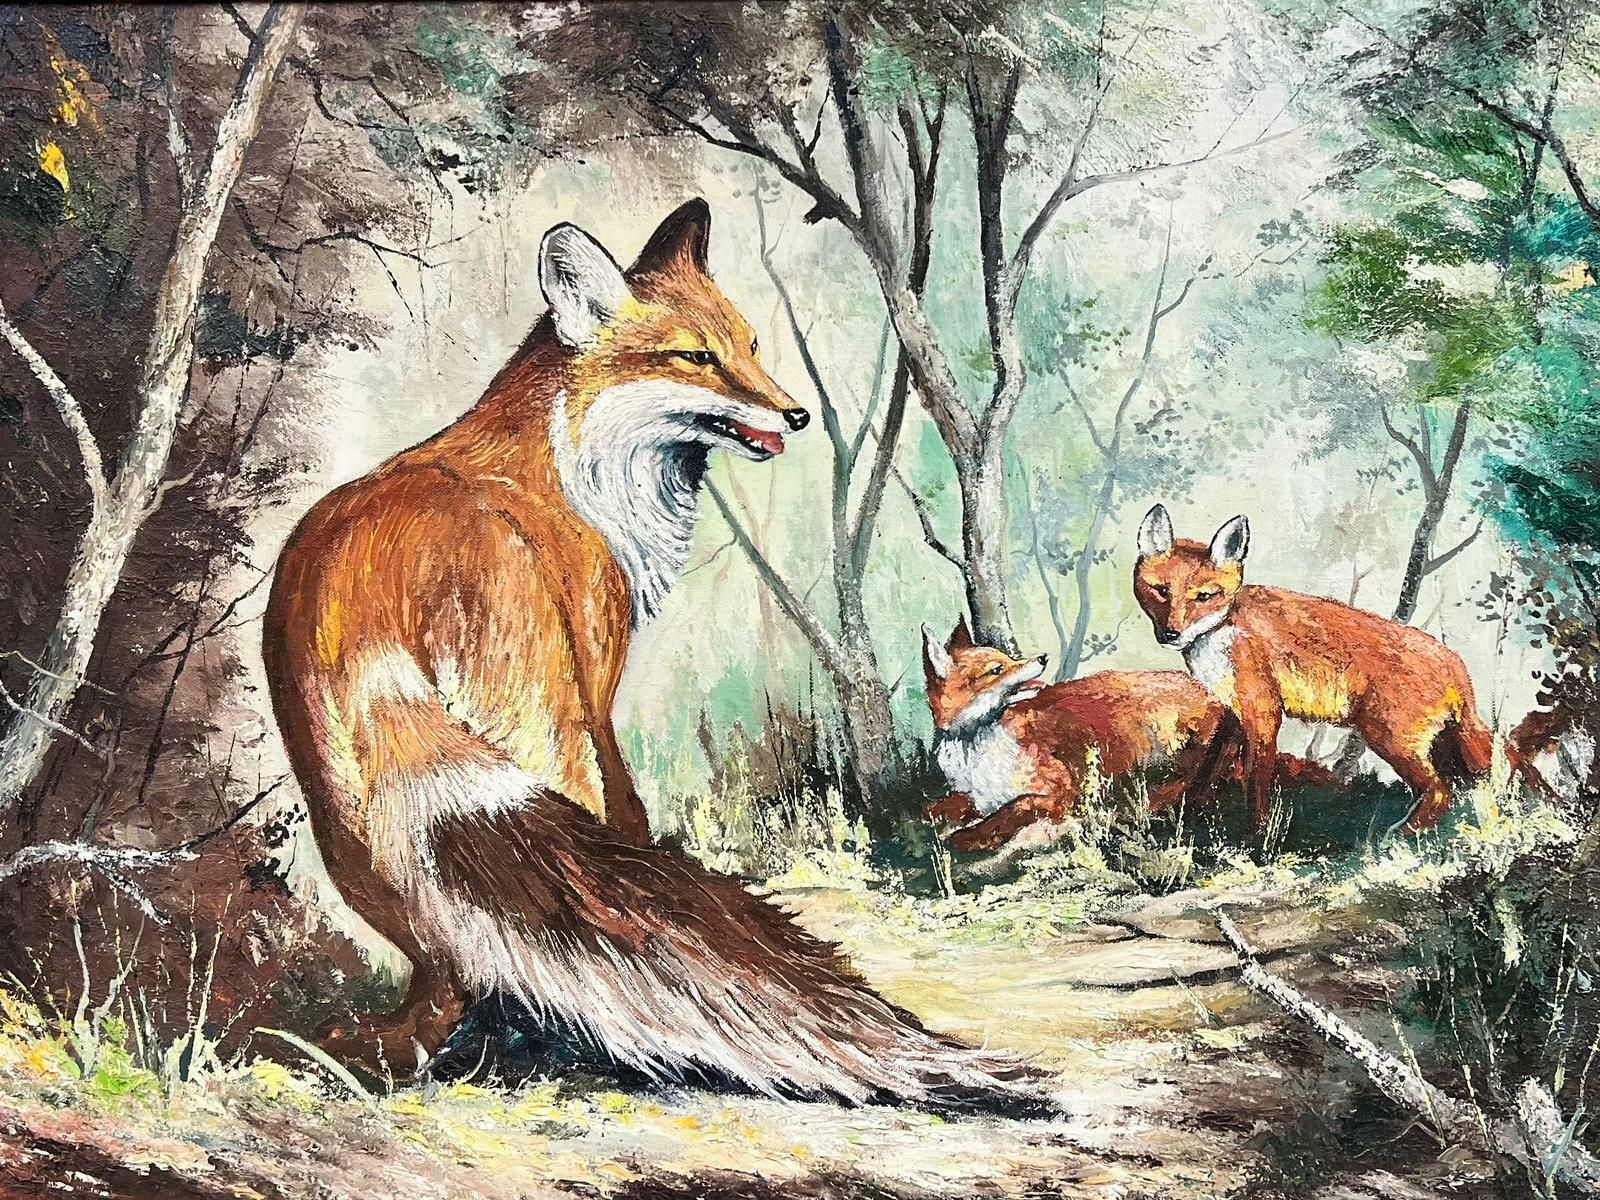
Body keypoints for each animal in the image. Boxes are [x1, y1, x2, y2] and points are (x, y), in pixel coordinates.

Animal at [263, 200, 1035, 1107]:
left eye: (750, 345)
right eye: (695, 357)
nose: (796, 414)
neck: (567, 472)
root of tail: (373, 592)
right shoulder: (595, 690)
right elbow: (628, 823)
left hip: (347, 820)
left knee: (439, 949)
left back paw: (406, 1050)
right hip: (538, 737)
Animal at [921, 619, 1252, 851]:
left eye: (1006, 659)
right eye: (996, 669)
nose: (1043, 657)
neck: (975, 742)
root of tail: (1214, 697)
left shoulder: (1060, 788)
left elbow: (1011, 809)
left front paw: (971, 836)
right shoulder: (972, 793)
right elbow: (934, 809)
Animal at [1132, 503, 1494, 834]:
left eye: (1205, 596)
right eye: (1161, 590)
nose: (1171, 634)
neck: (1225, 629)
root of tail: (1455, 661)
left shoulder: (1263, 713)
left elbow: (1256, 785)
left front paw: (1255, 839)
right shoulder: (1234, 714)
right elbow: (1206, 772)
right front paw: (1184, 811)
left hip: (1391, 740)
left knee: (1439, 792)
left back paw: (1397, 837)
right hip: (1435, 746)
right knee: (1459, 786)